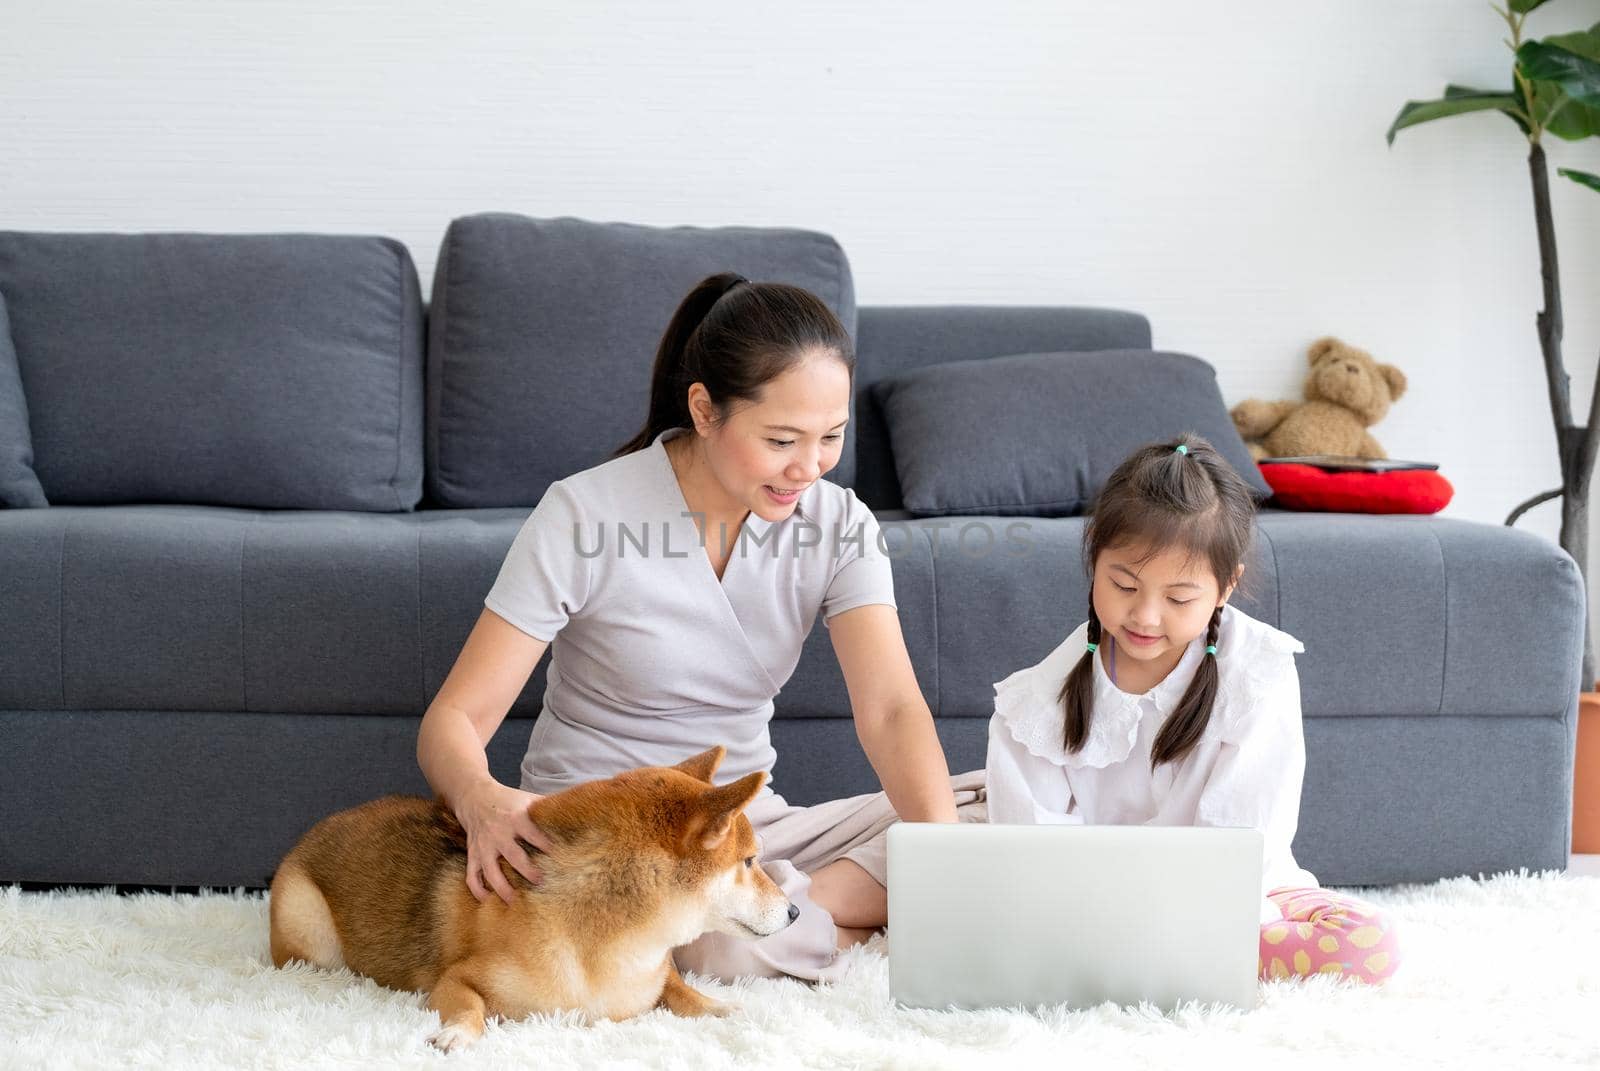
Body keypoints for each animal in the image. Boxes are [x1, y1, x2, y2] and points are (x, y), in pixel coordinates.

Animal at [268, 742, 793, 1043]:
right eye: (750, 862)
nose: (794, 913)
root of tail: (323, 825)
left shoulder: (656, 975)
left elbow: (678, 988)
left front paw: (719, 1005)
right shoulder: (456, 981)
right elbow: (470, 1007)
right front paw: (457, 1035)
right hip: (310, 935)